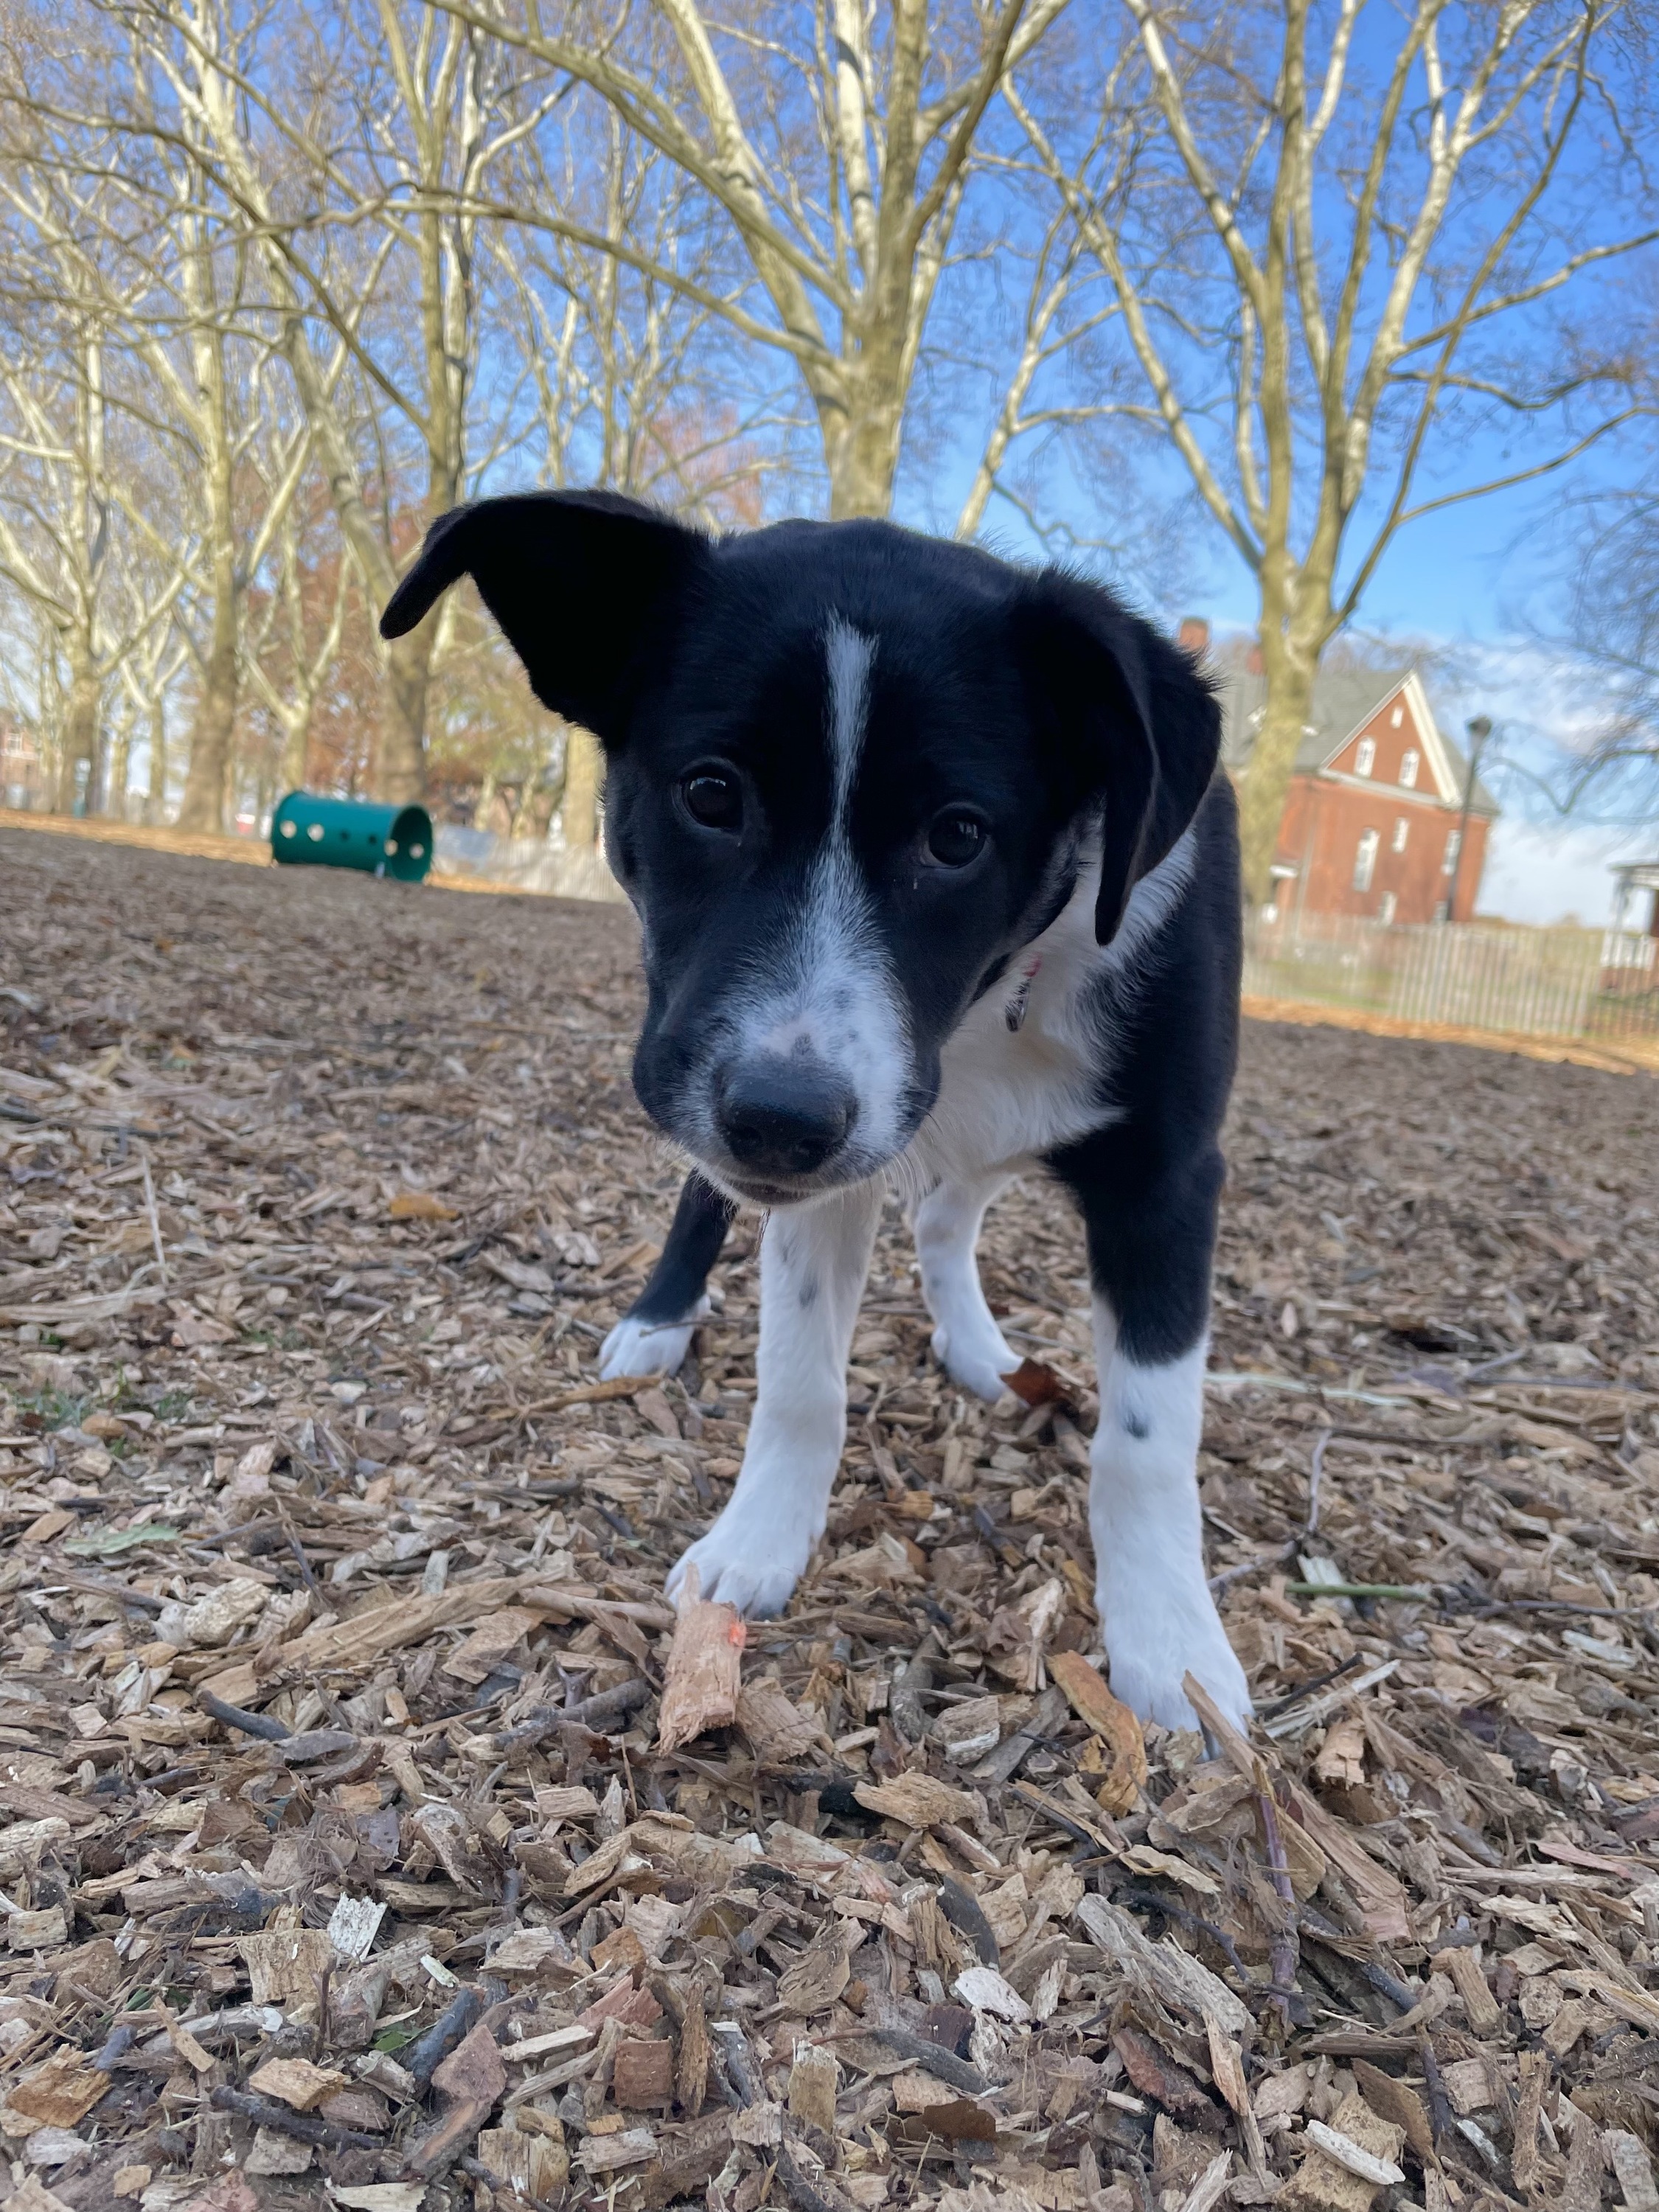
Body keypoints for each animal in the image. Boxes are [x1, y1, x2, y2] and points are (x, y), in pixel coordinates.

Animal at [387, 493, 1248, 1734]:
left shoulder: (1165, 1178)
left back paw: (978, 1348)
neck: (996, 994)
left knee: (947, 1212)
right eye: (710, 794)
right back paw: (659, 1319)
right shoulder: (806, 1144)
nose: (778, 1120)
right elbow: (800, 1379)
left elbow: (1146, 1438)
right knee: (722, 1197)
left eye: (957, 835)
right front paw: (756, 1542)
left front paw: (1172, 1647)